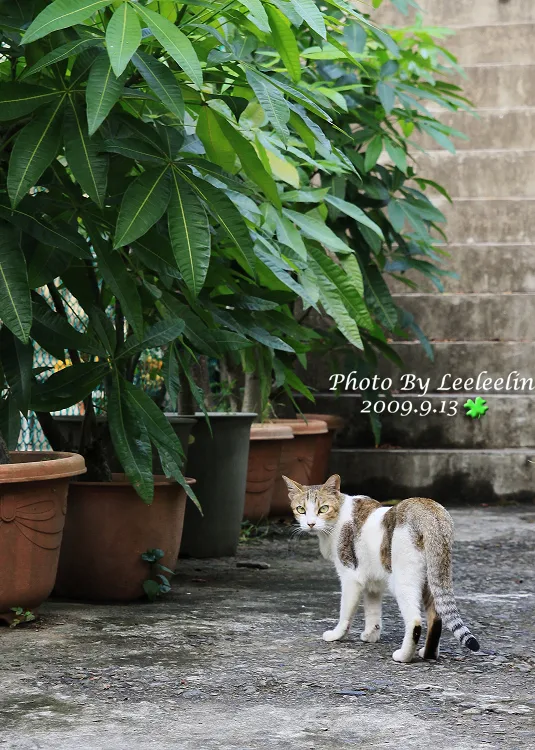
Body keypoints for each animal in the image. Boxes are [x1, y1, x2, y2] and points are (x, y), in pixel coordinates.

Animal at [284, 476, 482, 664]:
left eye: (323, 509)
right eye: (301, 509)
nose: (310, 524)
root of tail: (429, 510)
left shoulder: (350, 577)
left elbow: (345, 612)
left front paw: (337, 635)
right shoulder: (373, 581)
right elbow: (372, 610)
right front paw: (371, 634)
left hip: (402, 580)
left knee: (415, 622)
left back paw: (404, 656)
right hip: (432, 577)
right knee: (436, 617)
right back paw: (428, 654)